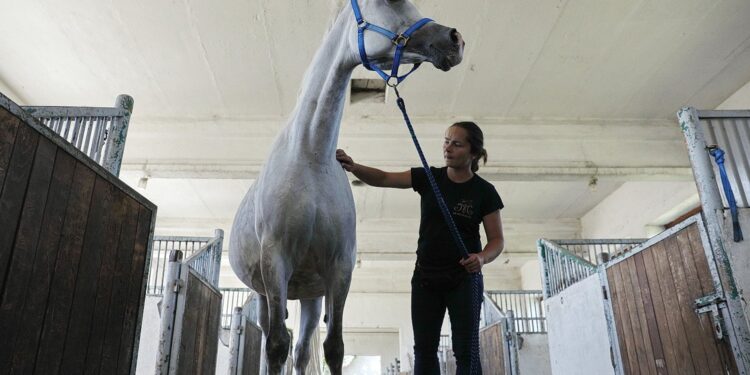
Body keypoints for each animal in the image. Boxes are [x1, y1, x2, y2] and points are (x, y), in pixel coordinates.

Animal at [229, 1, 464, 374]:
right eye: (391, 2)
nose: (455, 39)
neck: (311, 156)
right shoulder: (275, 261)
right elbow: (276, 345)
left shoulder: (339, 269)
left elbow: (334, 346)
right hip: (265, 293)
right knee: (273, 339)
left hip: (310, 295)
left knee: (301, 351)